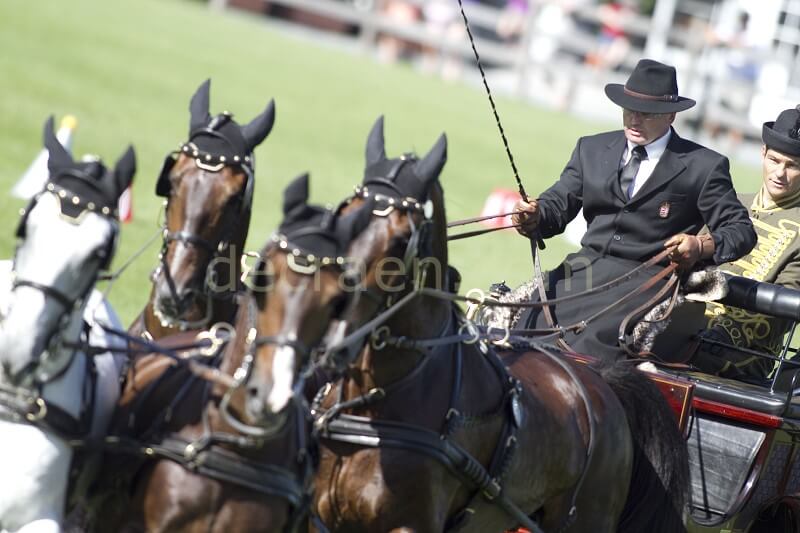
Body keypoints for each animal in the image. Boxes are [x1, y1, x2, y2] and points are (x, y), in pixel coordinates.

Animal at [310, 116, 690, 532]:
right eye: (343, 215)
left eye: (401, 239)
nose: (330, 329)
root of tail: (603, 381)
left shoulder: (412, 523)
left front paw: (692, 247)